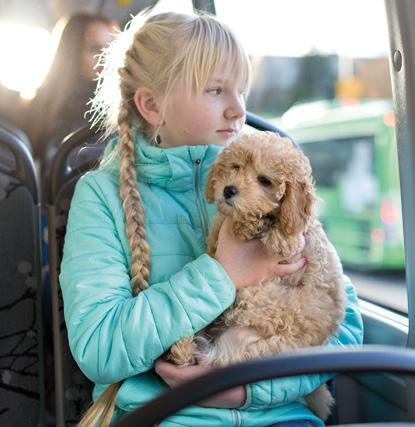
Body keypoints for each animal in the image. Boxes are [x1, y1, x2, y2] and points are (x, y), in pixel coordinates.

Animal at [167, 131, 346, 422]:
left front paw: (274, 234)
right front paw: (247, 223)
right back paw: (183, 346)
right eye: (235, 167)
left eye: (264, 180)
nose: (228, 190)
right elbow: (222, 231)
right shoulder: (216, 241)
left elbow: (288, 236)